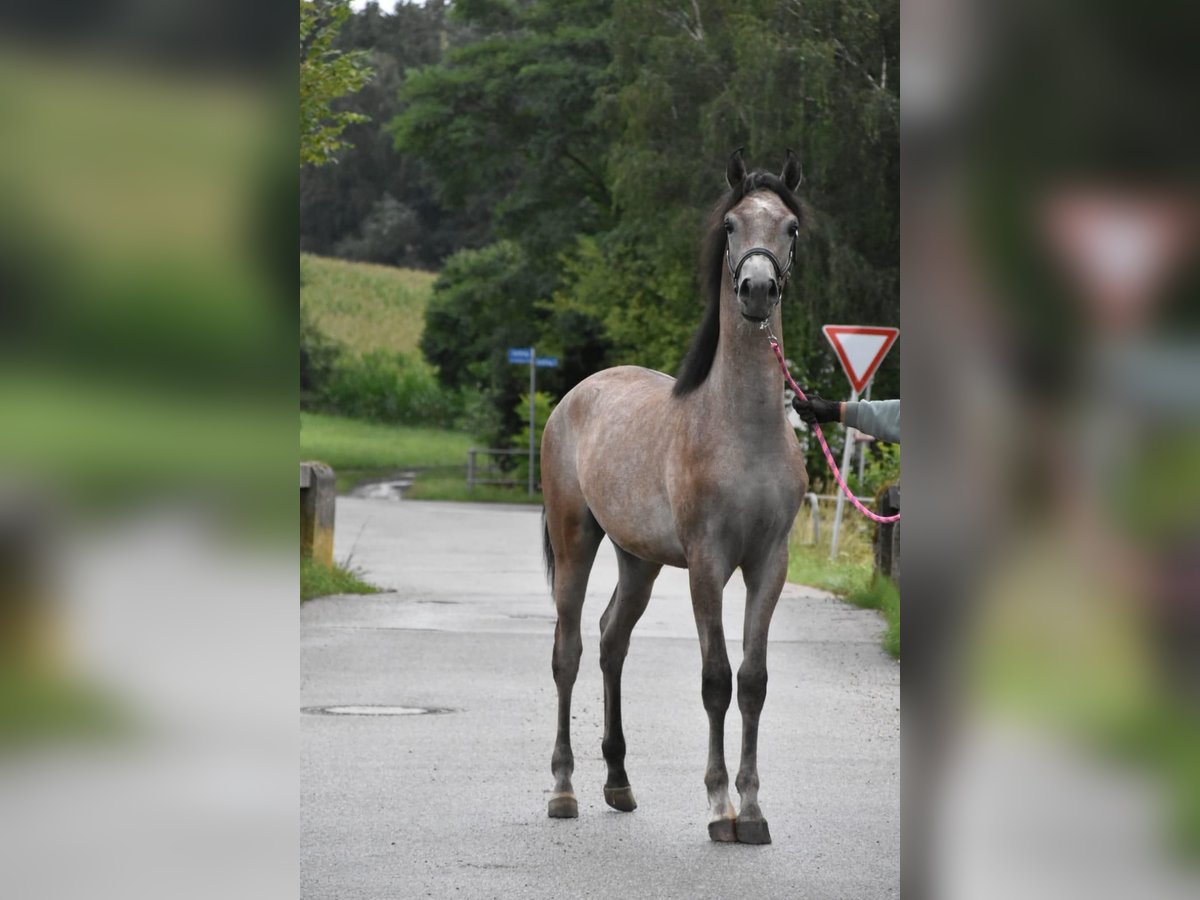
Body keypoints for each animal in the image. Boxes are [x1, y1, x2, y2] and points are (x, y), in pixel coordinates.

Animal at [542, 150, 806, 844]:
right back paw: (564, 789)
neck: (742, 427)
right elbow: (716, 679)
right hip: (575, 541)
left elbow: (754, 681)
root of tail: (574, 396)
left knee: (612, 641)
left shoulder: (769, 563)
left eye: (791, 226)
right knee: (568, 651)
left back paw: (618, 782)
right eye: (733, 224)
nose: (757, 290)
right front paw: (719, 808)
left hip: (639, 561)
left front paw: (754, 810)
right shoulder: (708, 565)